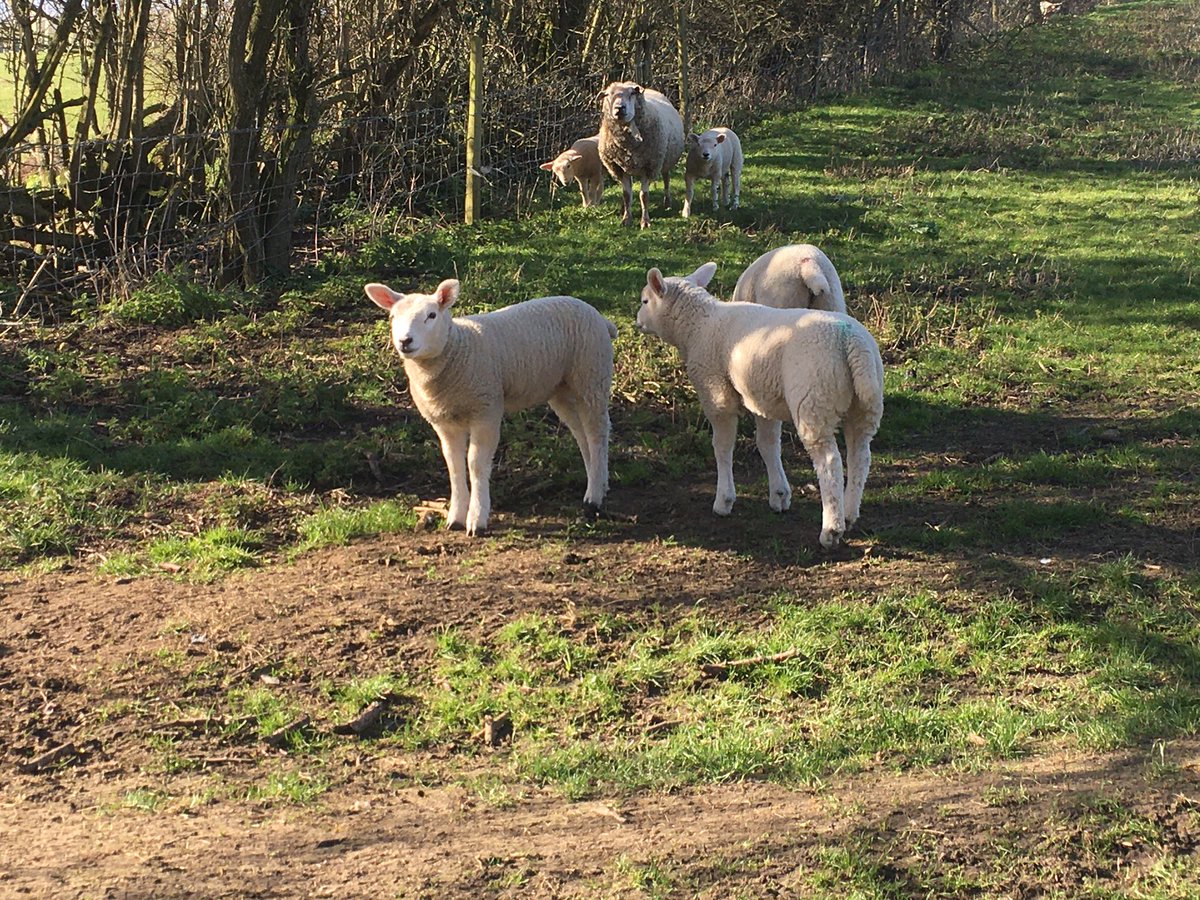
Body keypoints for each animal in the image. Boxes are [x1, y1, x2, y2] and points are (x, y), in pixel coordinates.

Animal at [365, 279, 617, 536]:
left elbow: (475, 464)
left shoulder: (486, 411)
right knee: (582, 435)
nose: (405, 341)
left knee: (597, 433)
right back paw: (599, 482)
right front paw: (455, 517)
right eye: (393, 316)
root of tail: (600, 317)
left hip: (591, 376)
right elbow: (454, 465)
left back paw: (594, 497)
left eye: (432, 315)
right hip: (561, 389)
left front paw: (477, 519)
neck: (457, 348)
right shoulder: (444, 422)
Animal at [597, 81, 685, 229]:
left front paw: (645, 221)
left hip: (664, 160)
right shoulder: (619, 168)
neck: (628, 145)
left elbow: (644, 196)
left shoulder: (649, 167)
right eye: (608, 95)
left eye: (632, 93)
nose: (619, 108)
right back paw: (623, 208)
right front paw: (626, 219)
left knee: (666, 179)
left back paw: (667, 202)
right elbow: (626, 195)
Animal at [635, 262, 884, 550]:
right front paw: (779, 495)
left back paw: (831, 529)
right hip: (866, 406)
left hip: (814, 399)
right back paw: (849, 514)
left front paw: (724, 500)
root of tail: (853, 344)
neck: (699, 326)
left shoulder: (716, 393)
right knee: (860, 456)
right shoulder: (763, 397)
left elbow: (722, 446)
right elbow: (767, 445)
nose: (637, 321)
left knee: (829, 462)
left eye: (645, 301)